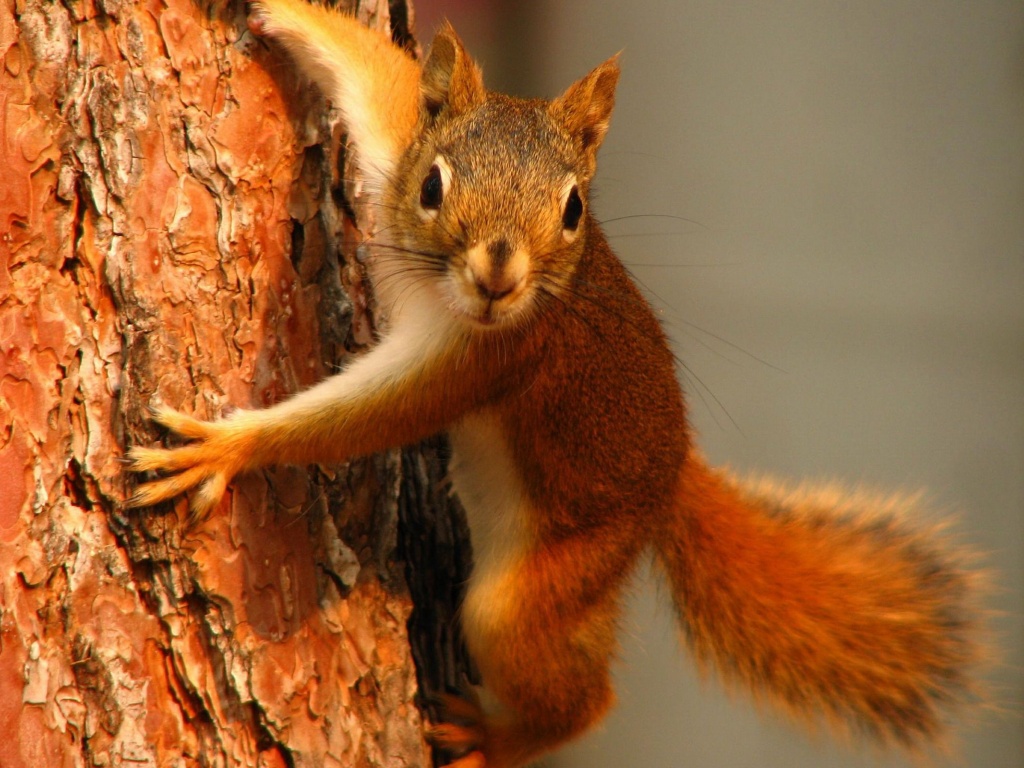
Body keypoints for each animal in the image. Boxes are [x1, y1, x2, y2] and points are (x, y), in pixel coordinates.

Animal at [128, 3, 983, 765]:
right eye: (432, 186)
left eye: (574, 208)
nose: (498, 276)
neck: (440, 292)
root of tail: (672, 476)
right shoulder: (393, 149)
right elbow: (378, 76)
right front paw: (276, 11)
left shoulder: (489, 359)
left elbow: (367, 417)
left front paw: (227, 448)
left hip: (552, 581)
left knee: (579, 696)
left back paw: (495, 740)